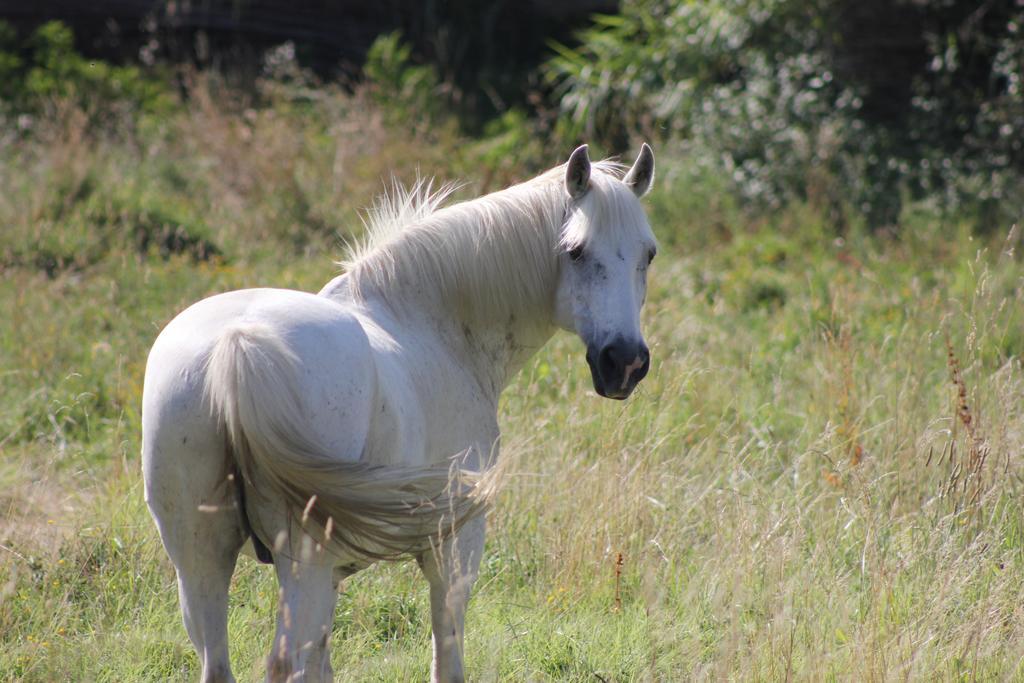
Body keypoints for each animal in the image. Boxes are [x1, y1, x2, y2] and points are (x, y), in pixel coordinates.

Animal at [142, 141, 655, 679]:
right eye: (575, 252)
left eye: (649, 254)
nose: (625, 362)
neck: (432, 323)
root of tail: (237, 344)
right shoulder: (455, 548)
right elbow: (447, 655)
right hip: (301, 562)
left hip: (200, 562)